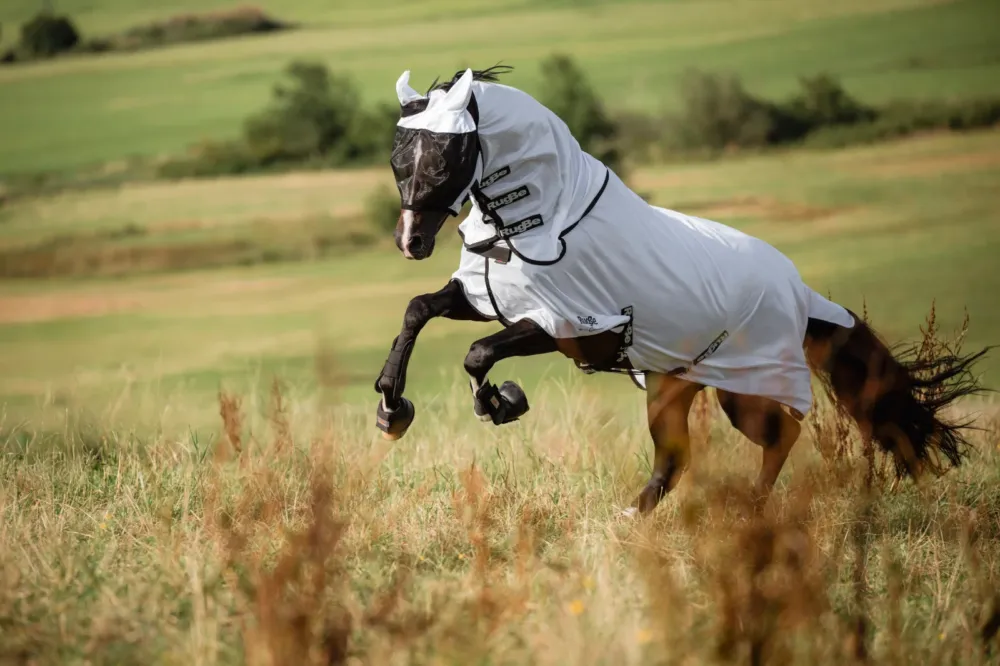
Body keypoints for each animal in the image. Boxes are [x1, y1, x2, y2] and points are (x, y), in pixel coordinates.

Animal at [372, 65, 989, 516]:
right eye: (399, 157)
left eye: (447, 158)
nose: (411, 241)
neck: (543, 224)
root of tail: (803, 294)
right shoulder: (489, 300)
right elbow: (417, 311)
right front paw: (392, 409)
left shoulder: (565, 327)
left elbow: (478, 354)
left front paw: (499, 404)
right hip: (671, 387)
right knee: (677, 460)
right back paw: (632, 519)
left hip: (743, 390)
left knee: (782, 433)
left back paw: (750, 509)